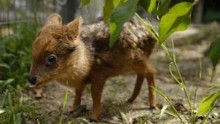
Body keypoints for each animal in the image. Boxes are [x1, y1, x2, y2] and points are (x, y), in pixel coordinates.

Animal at [27, 13, 156, 120]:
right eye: (32, 53)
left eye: (51, 58)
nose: (31, 79)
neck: (86, 59)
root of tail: (152, 34)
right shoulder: (81, 81)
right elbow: (78, 93)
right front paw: (72, 110)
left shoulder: (100, 73)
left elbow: (95, 94)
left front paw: (93, 117)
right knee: (142, 74)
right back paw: (131, 98)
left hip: (139, 58)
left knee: (151, 72)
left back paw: (153, 106)